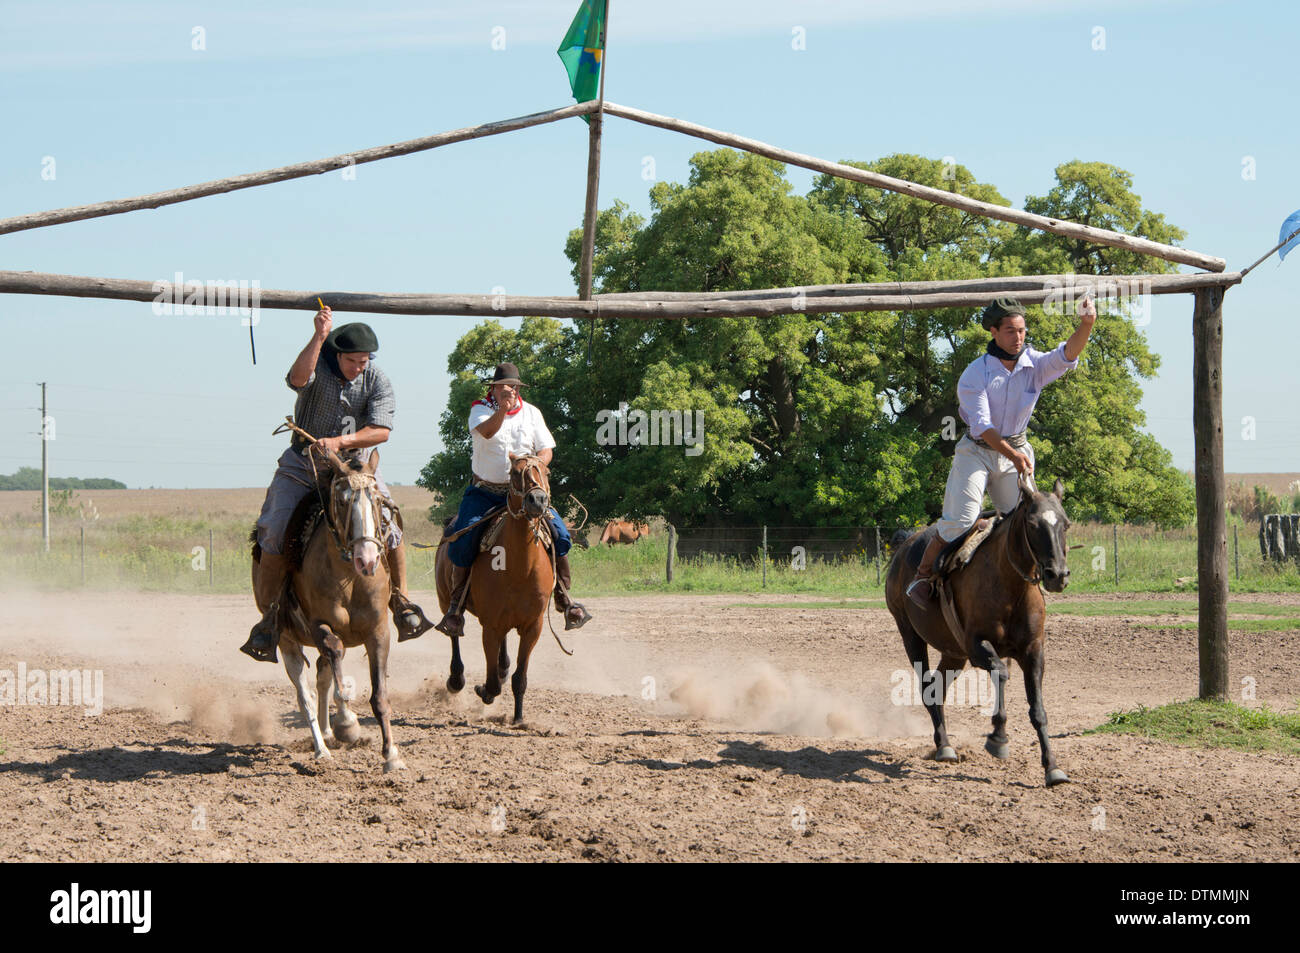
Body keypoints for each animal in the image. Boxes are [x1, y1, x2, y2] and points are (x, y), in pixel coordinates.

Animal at [246, 447, 400, 774]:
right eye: (341, 501)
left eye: (377, 501)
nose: (367, 559)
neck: (350, 577)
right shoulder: (320, 627)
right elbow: (336, 669)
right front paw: (348, 723)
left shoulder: (379, 631)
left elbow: (379, 696)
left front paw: (391, 756)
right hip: (287, 641)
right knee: (305, 693)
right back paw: (322, 748)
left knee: (322, 675)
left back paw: (330, 733)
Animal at [439, 452, 556, 722]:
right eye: (515, 472)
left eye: (546, 472)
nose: (538, 500)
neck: (519, 568)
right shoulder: (490, 626)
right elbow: (491, 683)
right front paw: (484, 690)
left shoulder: (533, 627)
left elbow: (519, 678)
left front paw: (519, 718)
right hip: (445, 601)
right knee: (453, 635)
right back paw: (456, 679)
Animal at [889, 478, 1071, 785]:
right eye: (1033, 524)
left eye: (1066, 524)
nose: (1057, 575)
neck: (1011, 589)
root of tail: (904, 548)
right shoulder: (977, 646)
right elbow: (1002, 673)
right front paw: (998, 737)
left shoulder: (1034, 652)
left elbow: (1038, 709)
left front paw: (1052, 767)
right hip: (910, 636)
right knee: (927, 688)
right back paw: (945, 746)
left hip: (953, 653)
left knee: (938, 689)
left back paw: (944, 744)